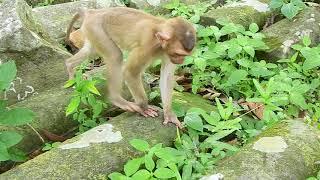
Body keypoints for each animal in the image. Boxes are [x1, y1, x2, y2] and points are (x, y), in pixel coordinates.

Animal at [64, 7, 196, 128]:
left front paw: (168, 113)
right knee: (115, 56)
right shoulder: (148, 47)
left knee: (91, 50)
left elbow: (167, 77)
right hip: (96, 29)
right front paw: (144, 108)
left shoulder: (167, 55)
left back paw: (69, 65)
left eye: (184, 55)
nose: (181, 61)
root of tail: (92, 12)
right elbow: (130, 72)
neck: (160, 42)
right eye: (178, 54)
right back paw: (117, 99)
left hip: (91, 31)